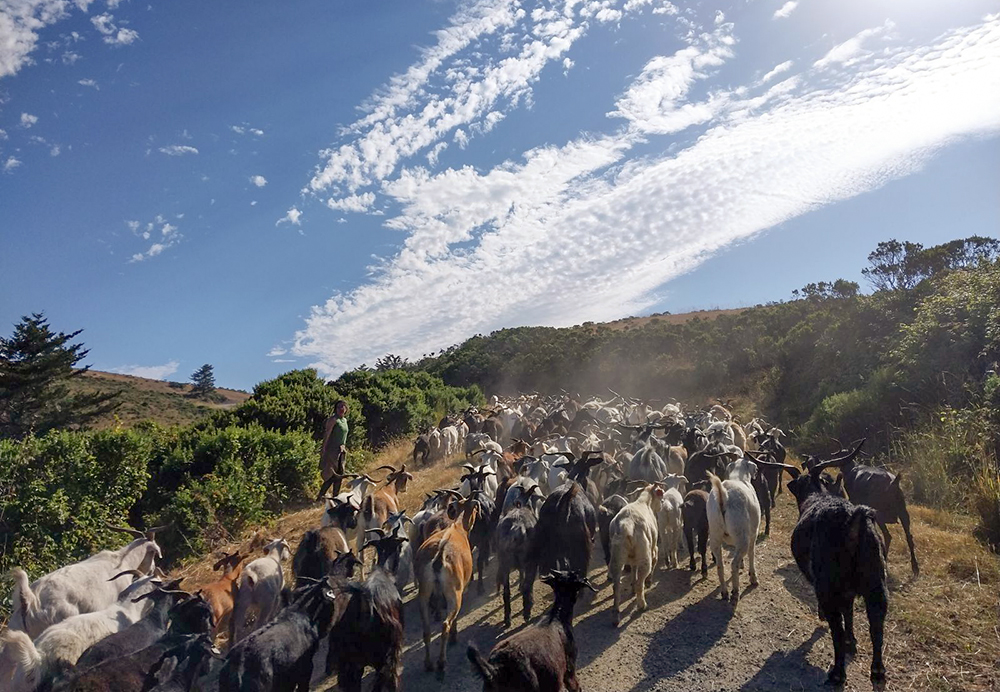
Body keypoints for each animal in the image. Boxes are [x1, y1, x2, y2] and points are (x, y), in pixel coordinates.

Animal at [412, 498, 478, 676]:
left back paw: (428, 664)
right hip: (453, 595)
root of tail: (439, 557)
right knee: (445, 625)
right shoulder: (461, 590)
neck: (456, 527)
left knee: (426, 629)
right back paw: (441, 662)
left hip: (424, 595)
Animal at [708, 456, 760, 604]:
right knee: (733, 564)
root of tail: (723, 495)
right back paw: (735, 592)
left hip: (715, 535)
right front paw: (753, 577)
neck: (739, 477)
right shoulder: (753, 533)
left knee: (720, 566)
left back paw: (725, 592)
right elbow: (752, 553)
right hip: (742, 536)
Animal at [784, 440, 888, 688]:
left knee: (836, 629)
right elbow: (849, 614)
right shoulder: (848, 591)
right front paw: (853, 641)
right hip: (876, 583)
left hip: (828, 586)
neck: (816, 496)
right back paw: (878, 670)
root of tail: (852, 520)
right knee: (877, 624)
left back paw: (837, 673)